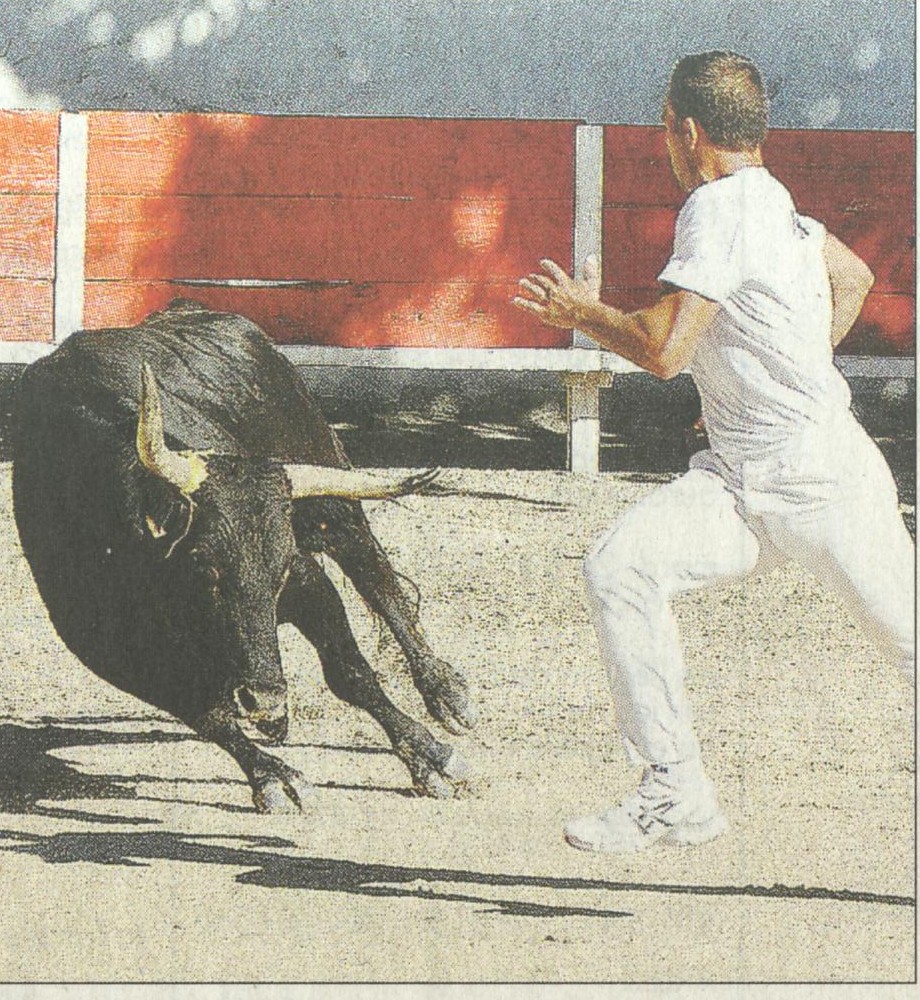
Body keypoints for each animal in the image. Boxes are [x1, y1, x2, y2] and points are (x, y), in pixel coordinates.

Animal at [12, 298, 474, 812]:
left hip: (331, 489)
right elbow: (206, 714)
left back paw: (446, 693)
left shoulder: (307, 582)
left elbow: (350, 671)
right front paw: (273, 775)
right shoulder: (104, 646)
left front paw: (430, 757)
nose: (265, 698)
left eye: (281, 570)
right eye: (203, 566)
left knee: (377, 578)